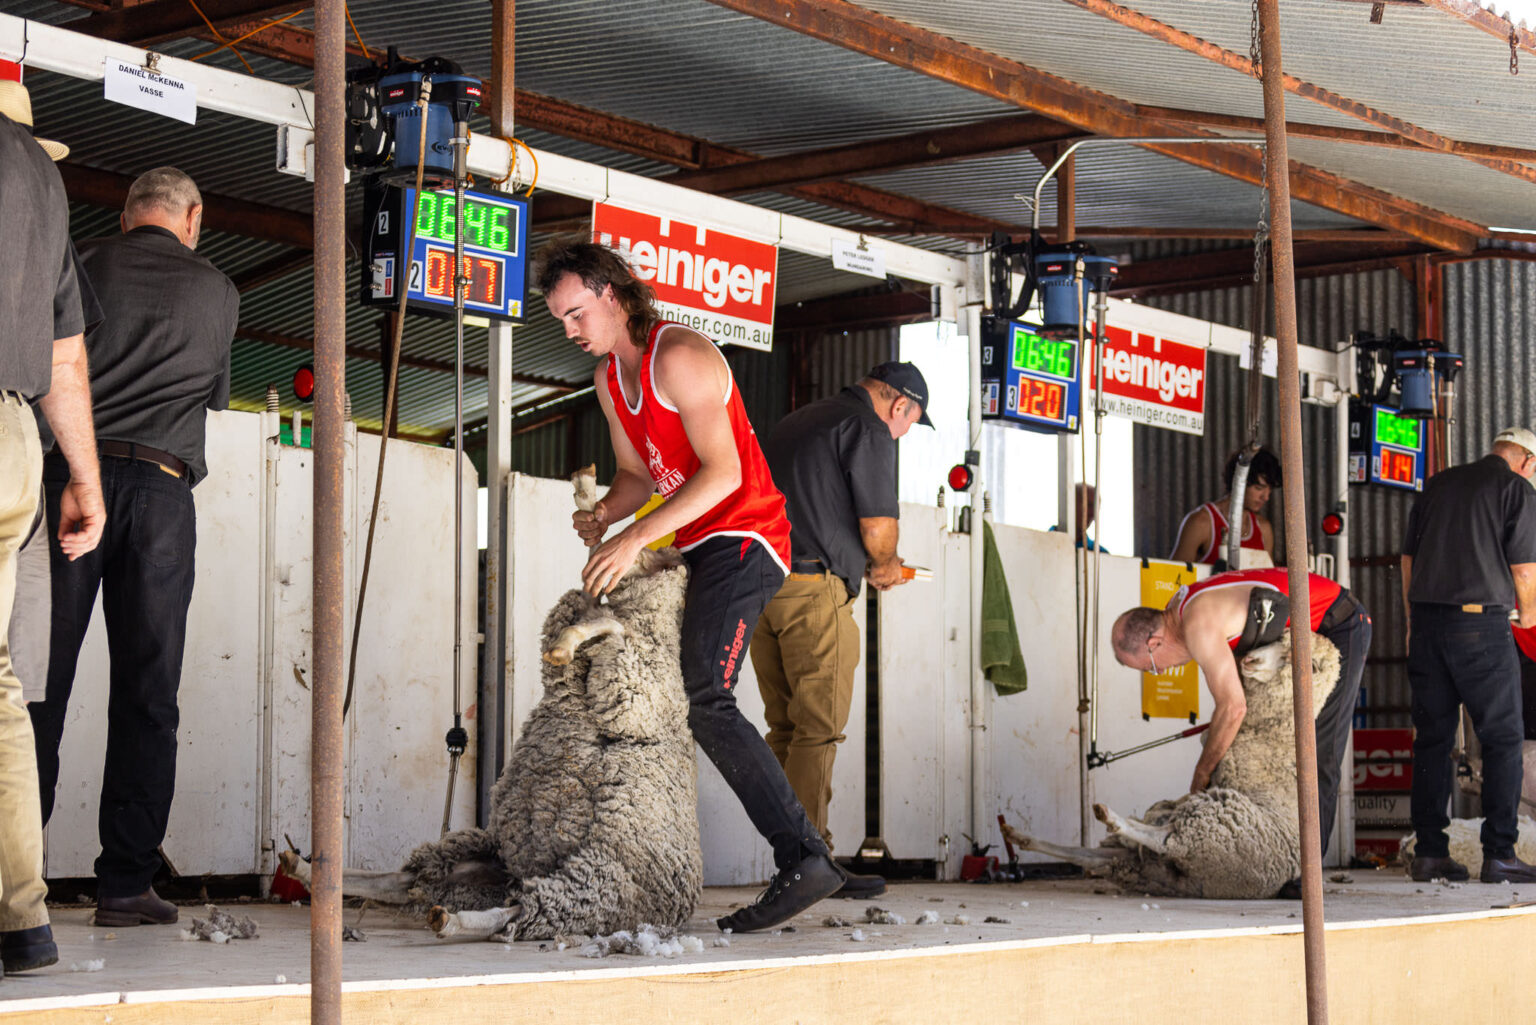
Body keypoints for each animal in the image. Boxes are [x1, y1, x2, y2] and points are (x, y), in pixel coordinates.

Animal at [1001, 630, 1339, 903]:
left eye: (1300, 660)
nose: (1250, 659)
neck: (1278, 735)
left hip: (1215, 825)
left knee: (1161, 840)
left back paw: (1112, 818)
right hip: (1152, 857)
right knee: (1098, 855)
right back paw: (1020, 836)